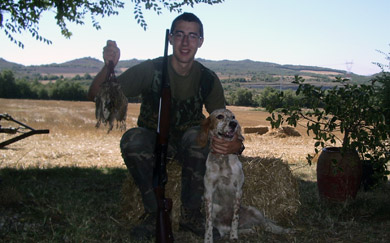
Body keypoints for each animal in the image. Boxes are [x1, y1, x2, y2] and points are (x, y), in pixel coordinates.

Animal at [198, 108, 292, 243]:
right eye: (220, 116)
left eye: (233, 117)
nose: (234, 124)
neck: (223, 159)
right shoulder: (209, 193)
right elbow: (208, 221)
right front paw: (208, 238)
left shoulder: (238, 191)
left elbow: (235, 218)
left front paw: (234, 236)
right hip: (224, 227)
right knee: (252, 228)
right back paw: (249, 231)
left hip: (255, 211)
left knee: (267, 224)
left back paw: (284, 230)